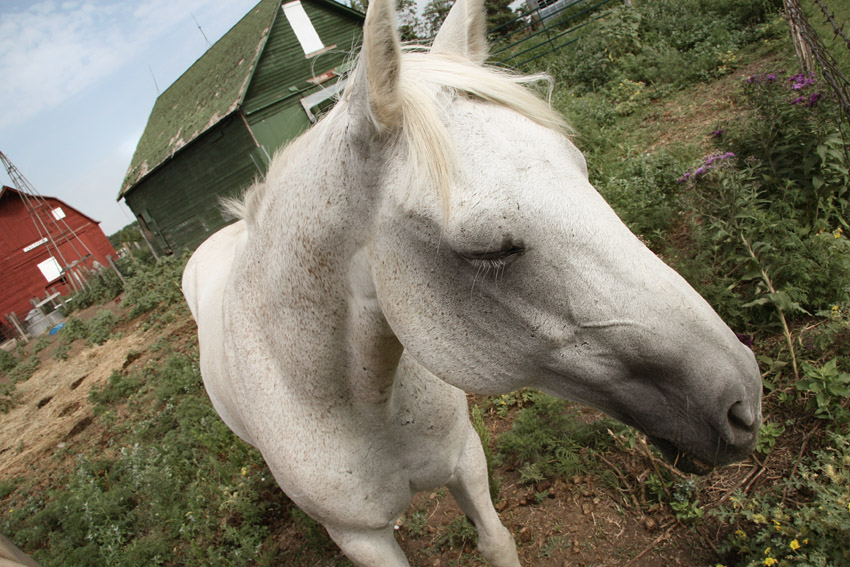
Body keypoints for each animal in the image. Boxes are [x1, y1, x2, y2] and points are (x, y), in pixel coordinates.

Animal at [181, 0, 760, 564]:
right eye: (490, 249)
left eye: (581, 166)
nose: (744, 401)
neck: (357, 406)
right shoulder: (360, 537)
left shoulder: (465, 458)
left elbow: (496, 541)